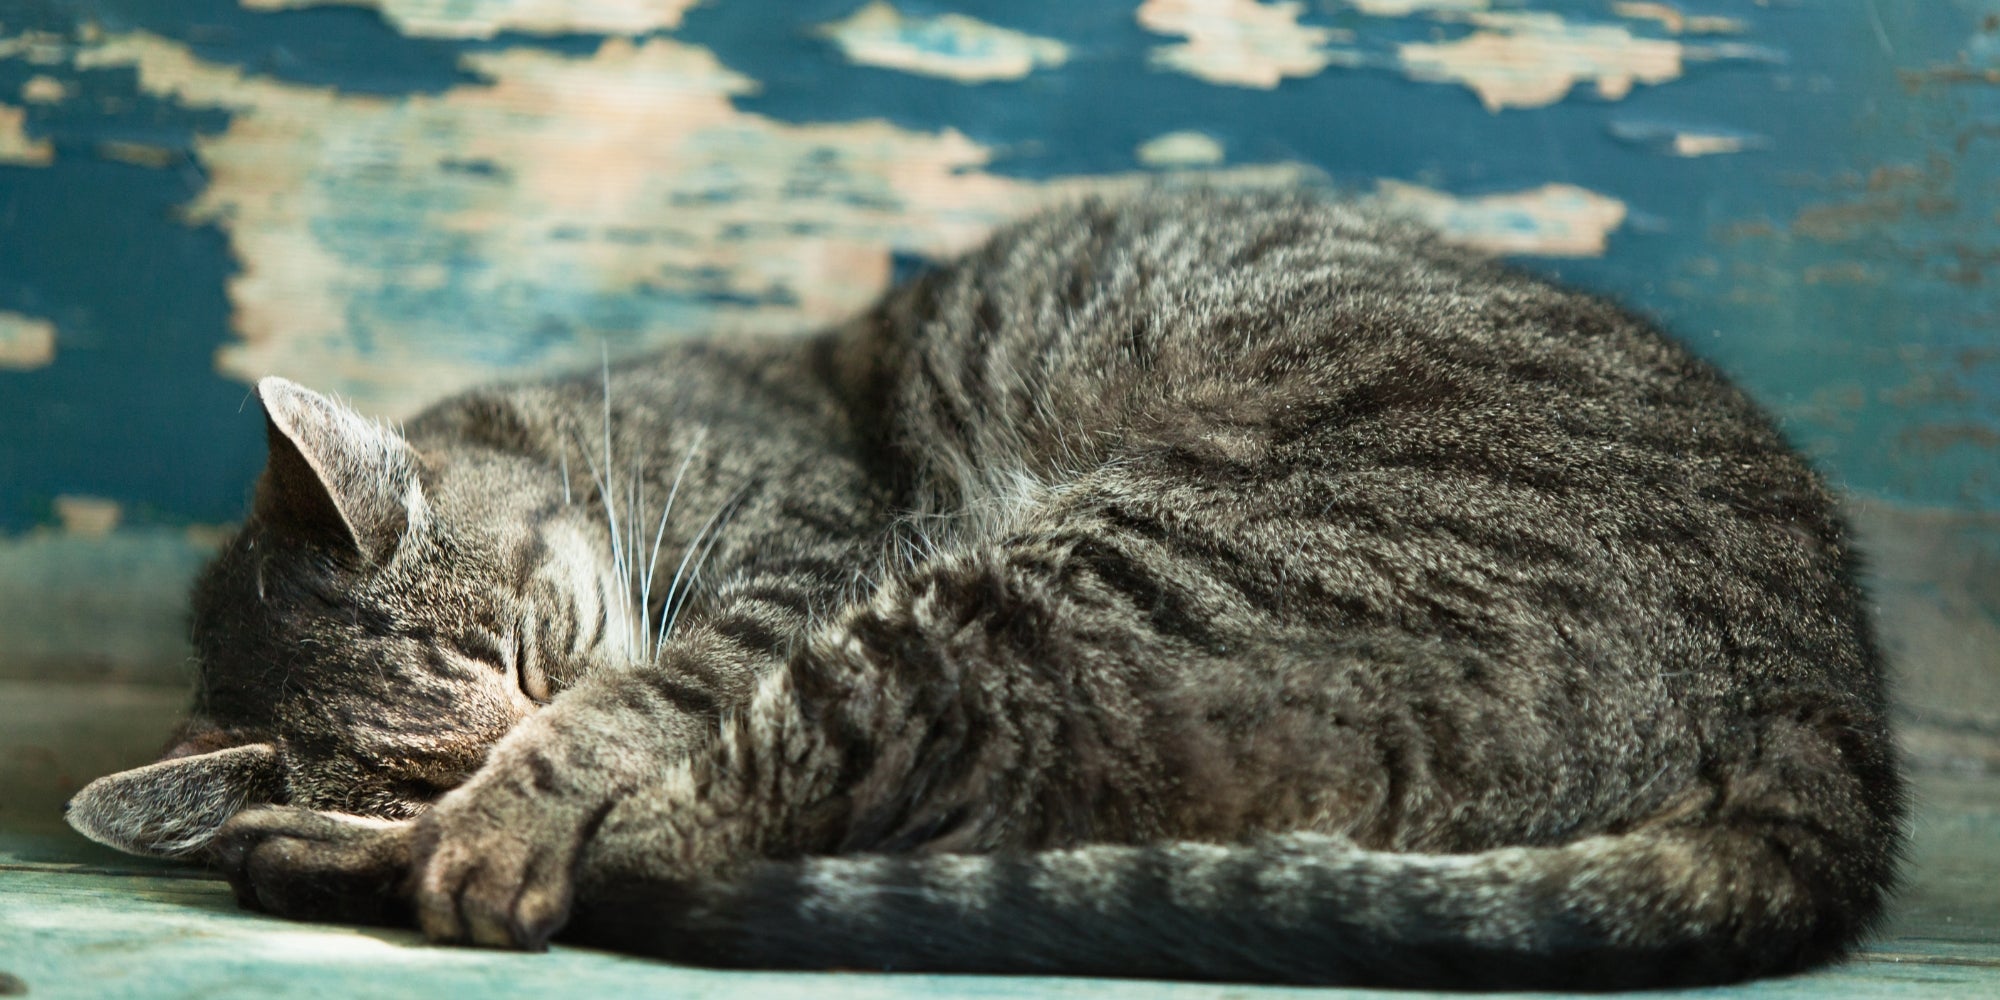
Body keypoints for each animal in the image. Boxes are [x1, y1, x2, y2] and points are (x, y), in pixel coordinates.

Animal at [66, 191, 1904, 988]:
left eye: (540, 643)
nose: (513, 739)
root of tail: (1826, 698)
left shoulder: (804, 556)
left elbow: (641, 713)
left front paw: (500, 811)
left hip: (1048, 586)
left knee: (689, 834)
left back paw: (360, 856)